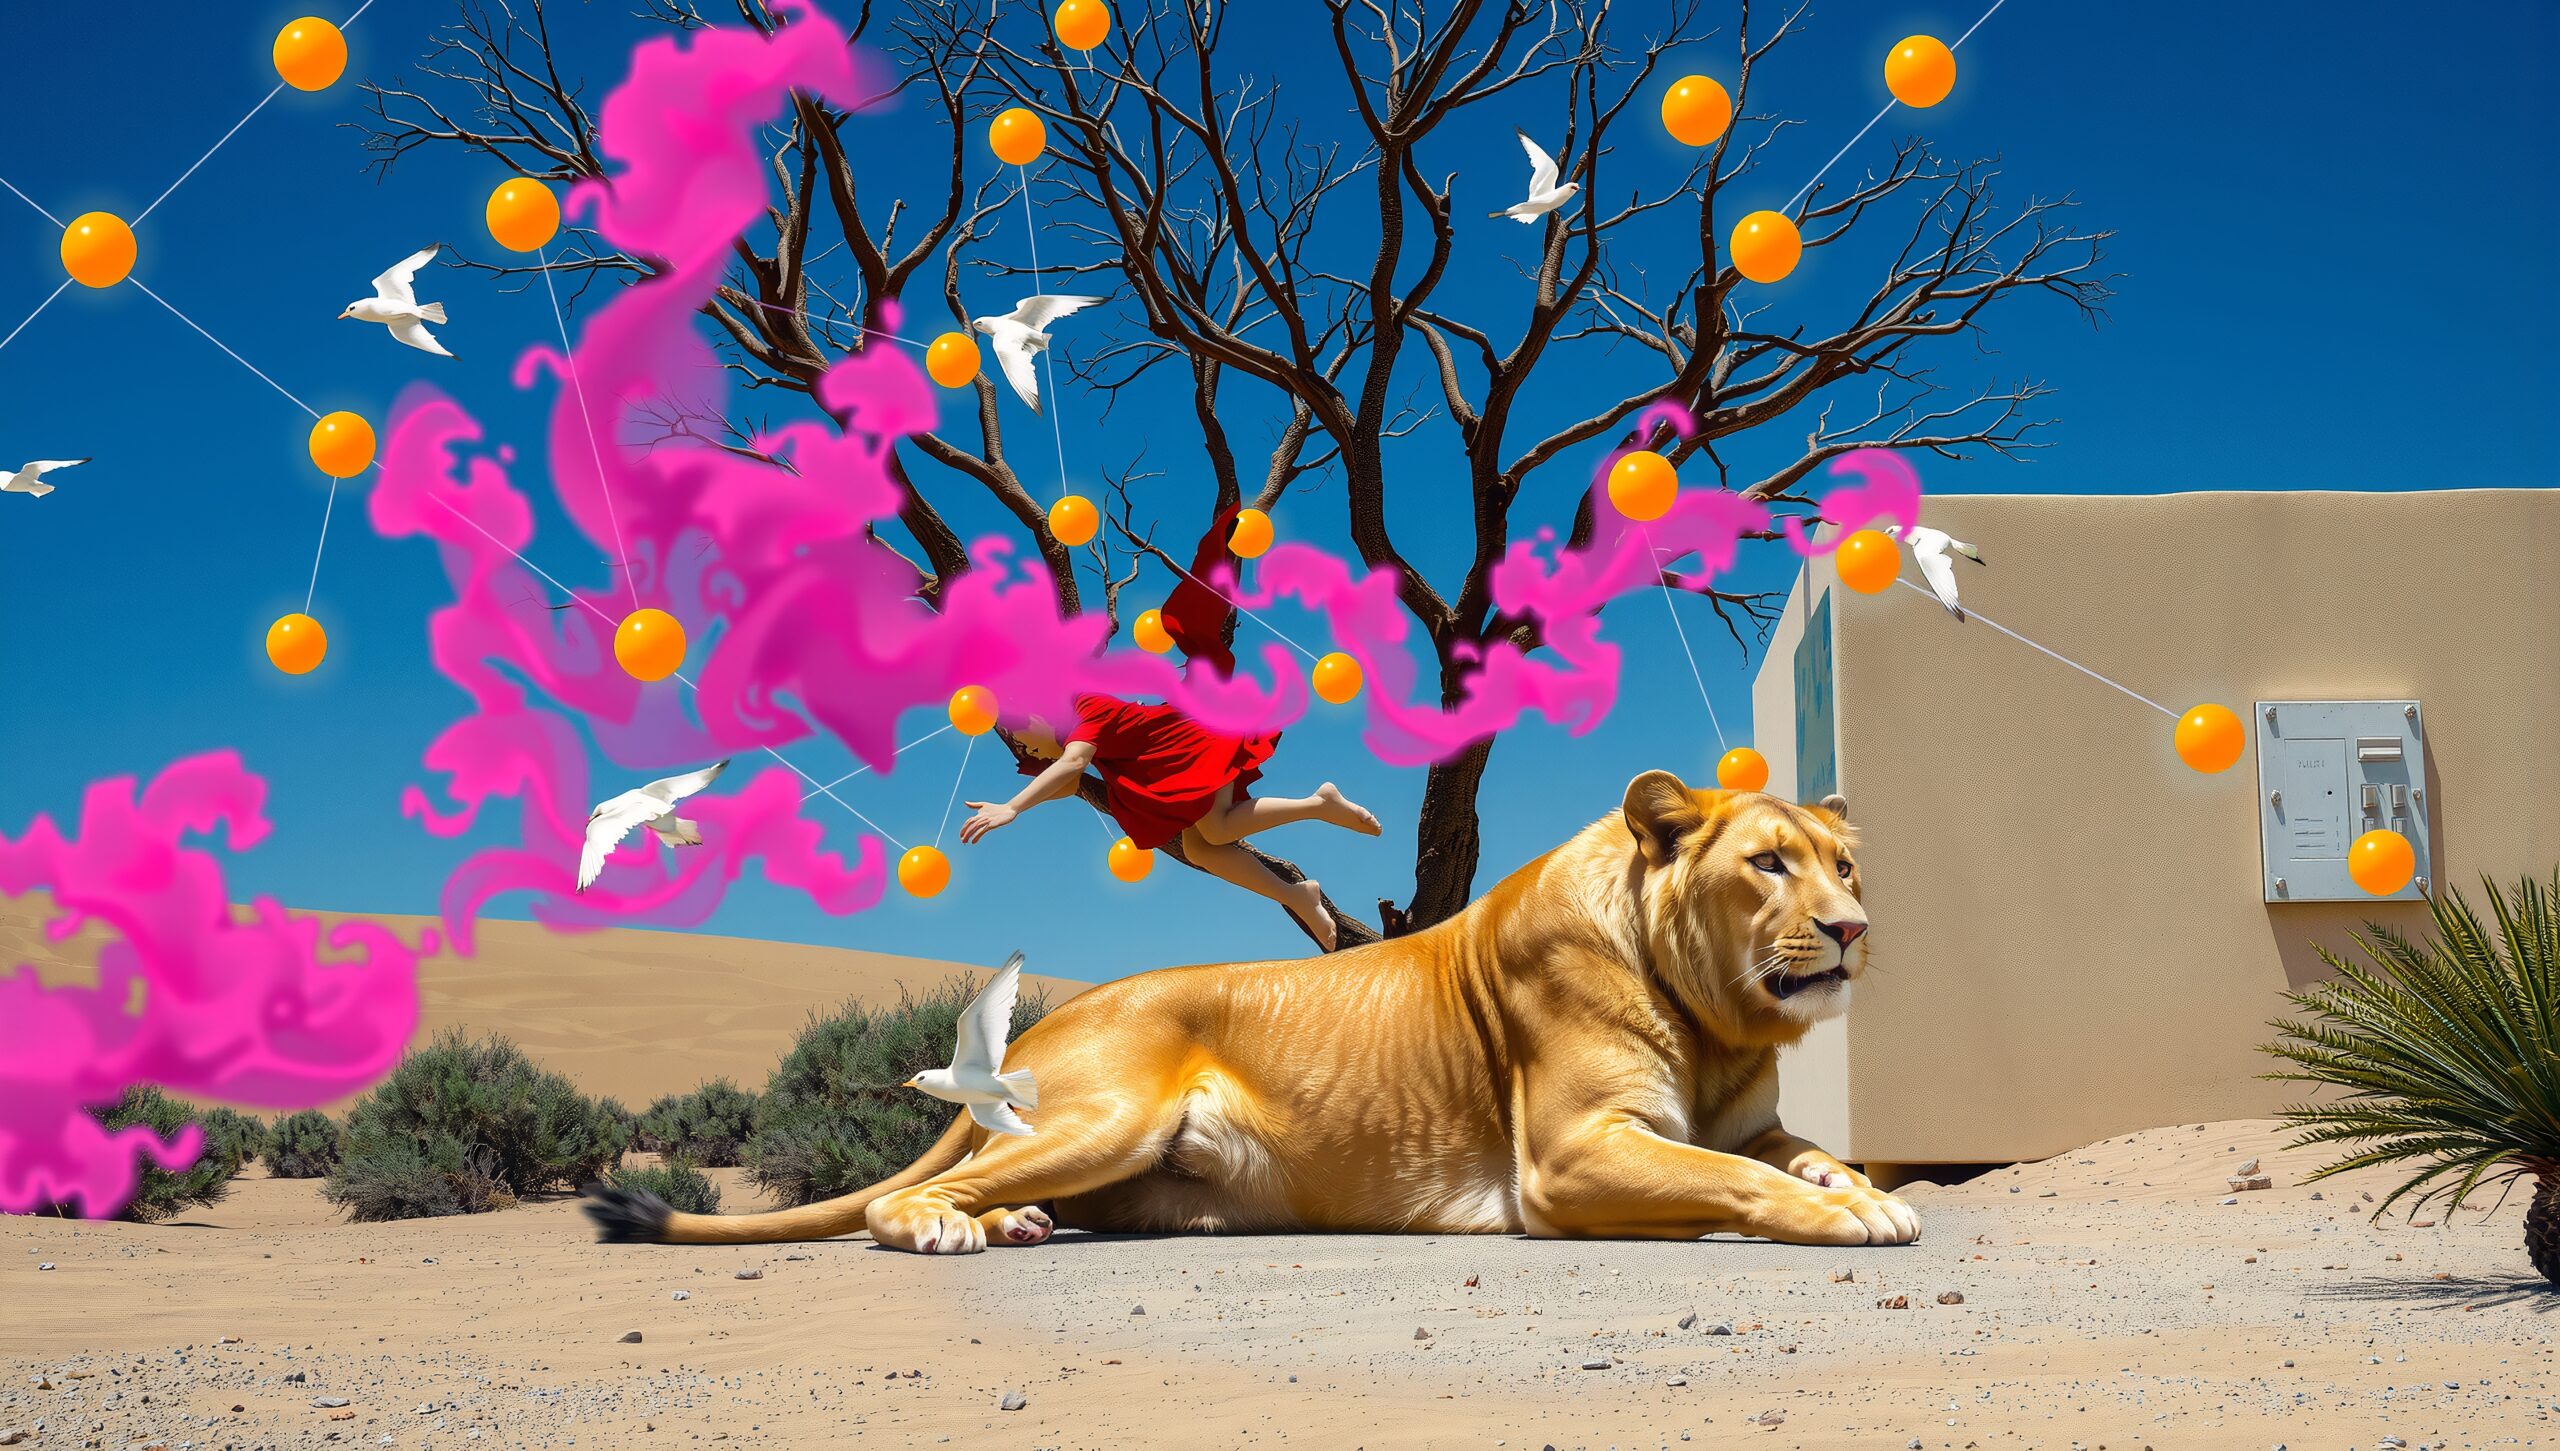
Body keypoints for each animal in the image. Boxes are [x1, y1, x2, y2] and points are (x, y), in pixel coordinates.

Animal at [584, 771, 1920, 1252]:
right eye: (1767, 863)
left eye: (1845, 865)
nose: (1857, 930)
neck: (1716, 1018)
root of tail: (1040, 1023)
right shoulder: (1566, 1156)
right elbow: (1735, 1177)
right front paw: (1848, 1216)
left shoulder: (1744, 1117)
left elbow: (1806, 1150)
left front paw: (1854, 1186)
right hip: (1105, 1116)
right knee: (906, 1196)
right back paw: (951, 1229)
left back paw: (1018, 1223)